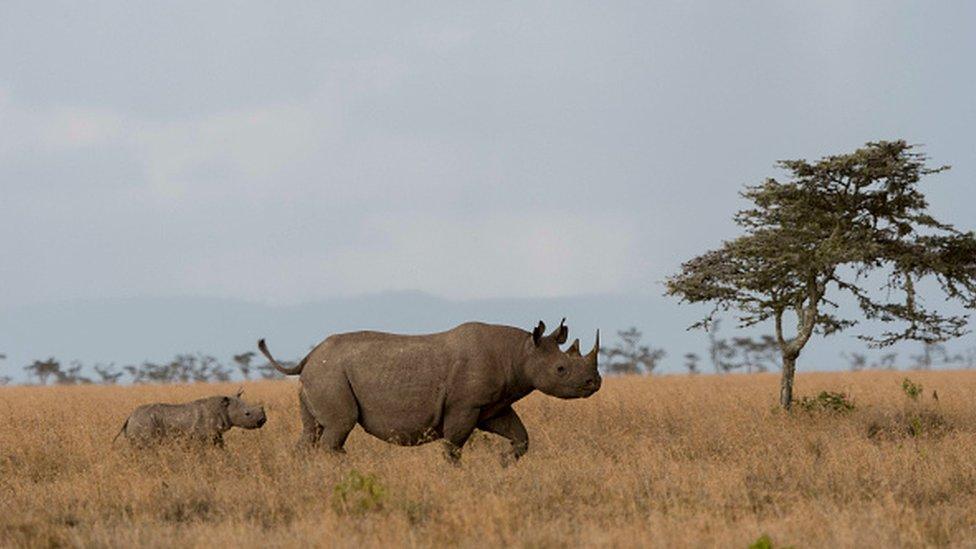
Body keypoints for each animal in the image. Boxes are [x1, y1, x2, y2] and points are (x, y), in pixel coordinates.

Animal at [115, 388, 266, 448]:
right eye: (247, 414)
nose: (262, 420)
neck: (222, 408)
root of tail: (130, 417)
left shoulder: (215, 435)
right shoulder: (201, 437)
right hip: (143, 422)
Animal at [255, 316, 600, 462]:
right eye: (561, 370)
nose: (594, 383)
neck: (520, 352)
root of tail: (309, 357)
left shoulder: (493, 406)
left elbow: (521, 437)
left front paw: (504, 462)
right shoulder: (465, 405)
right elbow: (453, 446)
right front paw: (455, 474)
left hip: (321, 374)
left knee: (312, 431)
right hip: (329, 374)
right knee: (339, 425)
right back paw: (342, 465)